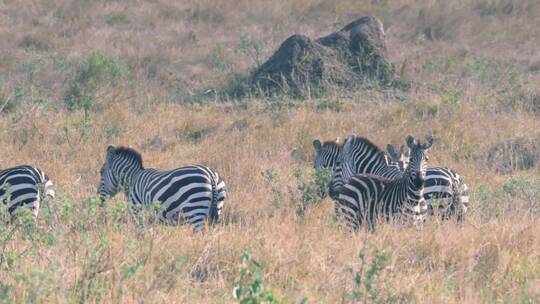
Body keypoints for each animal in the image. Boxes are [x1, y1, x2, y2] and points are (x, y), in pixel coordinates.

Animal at [98, 146, 227, 232]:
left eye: (101, 172)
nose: (98, 198)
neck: (132, 178)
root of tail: (210, 175)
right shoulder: (151, 219)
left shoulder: (138, 211)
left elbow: (142, 234)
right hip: (216, 208)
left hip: (196, 209)